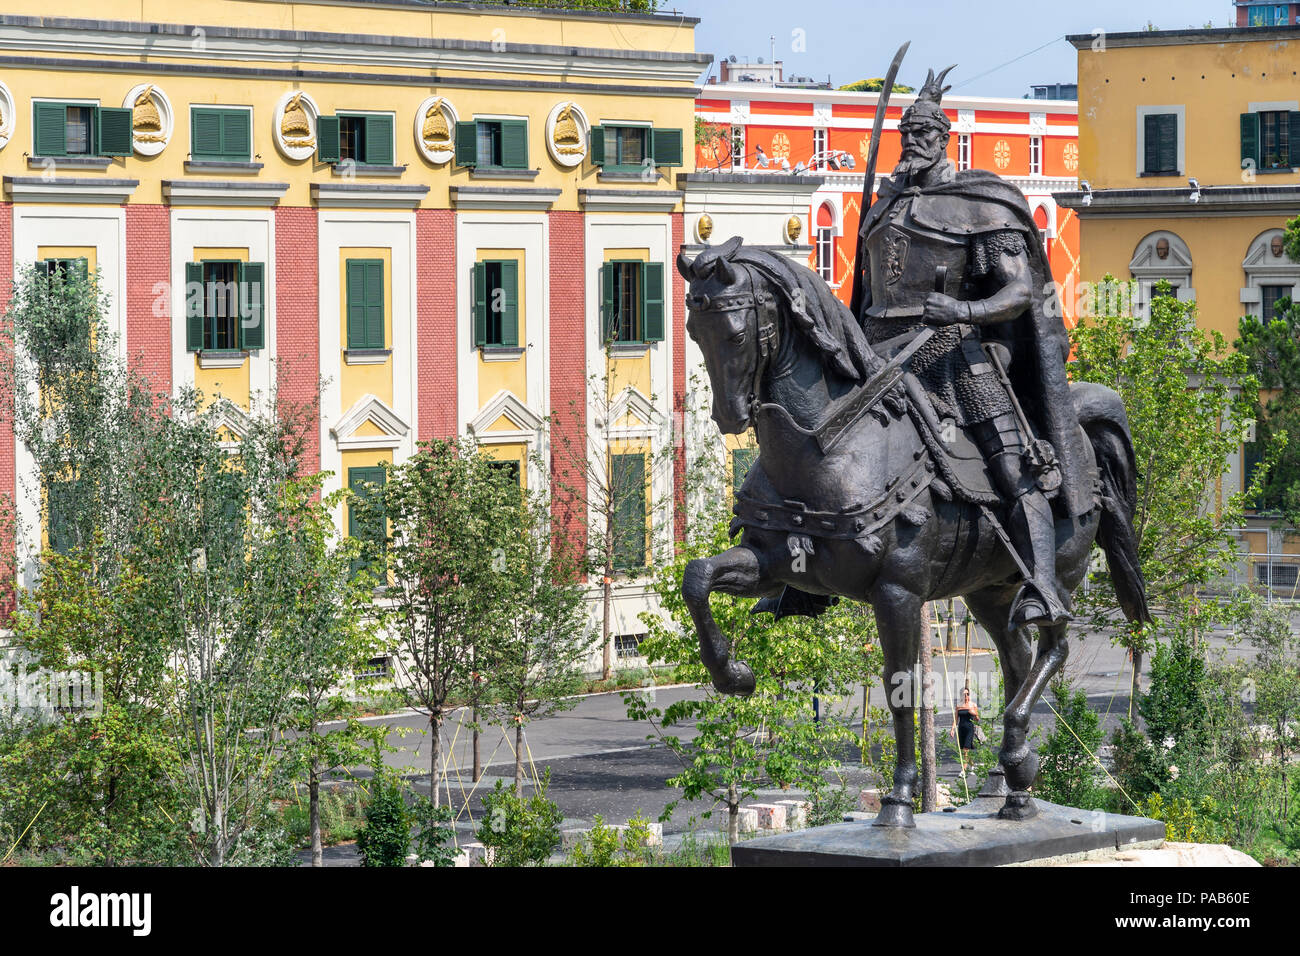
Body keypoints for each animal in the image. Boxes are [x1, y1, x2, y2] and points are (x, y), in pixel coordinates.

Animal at [681, 235, 1149, 827]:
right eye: (695, 332)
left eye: (737, 333)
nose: (729, 416)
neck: (826, 442)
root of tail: (1082, 437)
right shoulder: (772, 563)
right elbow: (698, 578)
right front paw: (732, 674)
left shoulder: (897, 592)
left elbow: (901, 686)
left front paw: (900, 799)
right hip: (988, 591)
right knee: (1016, 655)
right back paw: (1009, 781)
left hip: (1058, 574)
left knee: (1053, 643)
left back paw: (1017, 750)